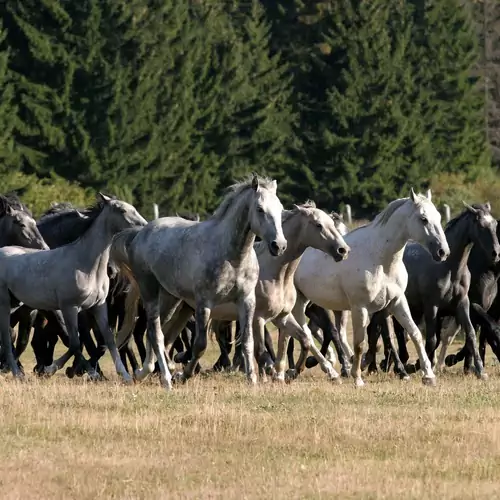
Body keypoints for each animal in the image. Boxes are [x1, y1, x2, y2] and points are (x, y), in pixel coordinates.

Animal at [0, 193, 146, 380]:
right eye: (121, 210)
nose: (144, 225)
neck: (85, 264)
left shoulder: (99, 307)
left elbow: (107, 341)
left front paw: (125, 375)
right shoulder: (70, 308)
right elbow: (75, 343)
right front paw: (81, 372)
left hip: (17, 305)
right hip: (5, 304)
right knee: (7, 338)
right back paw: (17, 372)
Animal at [111, 176, 288, 390]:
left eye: (280, 209)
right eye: (260, 209)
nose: (279, 245)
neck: (232, 257)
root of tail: (140, 234)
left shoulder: (246, 300)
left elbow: (247, 341)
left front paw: (252, 380)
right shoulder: (204, 304)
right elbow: (200, 345)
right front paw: (184, 375)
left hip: (171, 299)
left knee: (155, 334)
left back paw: (143, 372)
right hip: (149, 291)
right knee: (156, 333)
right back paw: (166, 379)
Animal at [290, 188, 450, 386]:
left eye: (438, 216)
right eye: (423, 219)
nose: (443, 252)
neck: (380, 259)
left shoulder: (397, 302)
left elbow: (415, 334)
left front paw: (428, 376)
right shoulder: (360, 307)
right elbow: (360, 343)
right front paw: (358, 378)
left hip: (313, 304)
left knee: (314, 335)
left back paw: (326, 371)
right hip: (298, 305)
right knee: (306, 335)